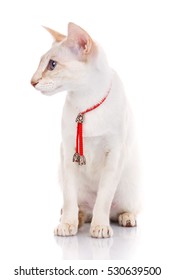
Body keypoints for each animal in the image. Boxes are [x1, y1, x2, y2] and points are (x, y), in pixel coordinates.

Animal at [30, 22, 141, 238]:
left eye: (52, 65)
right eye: (41, 63)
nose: (32, 81)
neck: (86, 100)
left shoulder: (114, 153)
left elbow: (104, 198)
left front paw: (100, 227)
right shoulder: (67, 152)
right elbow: (69, 199)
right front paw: (67, 224)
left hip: (128, 187)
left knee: (119, 209)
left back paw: (125, 218)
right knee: (79, 207)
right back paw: (76, 219)